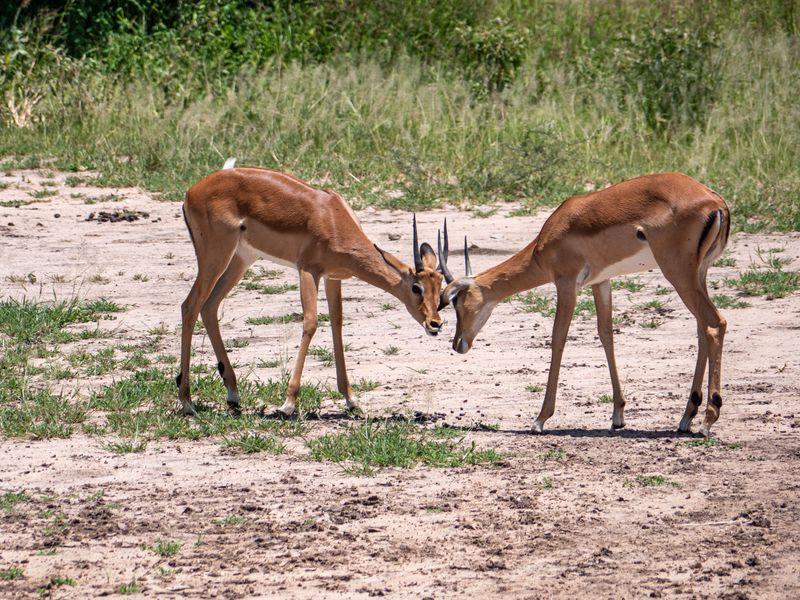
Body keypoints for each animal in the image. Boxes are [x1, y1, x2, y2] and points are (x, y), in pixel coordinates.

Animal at [178, 162, 454, 420]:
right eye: (416, 287)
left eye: (440, 287)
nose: (435, 324)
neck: (331, 217)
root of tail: (192, 191)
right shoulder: (308, 271)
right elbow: (310, 323)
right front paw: (288, 404)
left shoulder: (333, 277)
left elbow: (337, 324)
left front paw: (351, 401)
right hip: (215, 256)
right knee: (190, 305)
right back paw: (187, 402)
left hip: (242, 259)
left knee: (209, 306)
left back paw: (233, 397)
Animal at [438, 172, 732, 436]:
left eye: (457, 302)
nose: (457, 344)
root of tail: (715, 201)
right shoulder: (601, 282)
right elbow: (606, 334)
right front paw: (618, 415)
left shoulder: (566, 284)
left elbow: (558, 338)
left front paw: (540, 419)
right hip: (698, 274)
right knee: (702, 329)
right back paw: (686, 418)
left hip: (678, 273)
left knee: (715, 323)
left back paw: (707, 420)